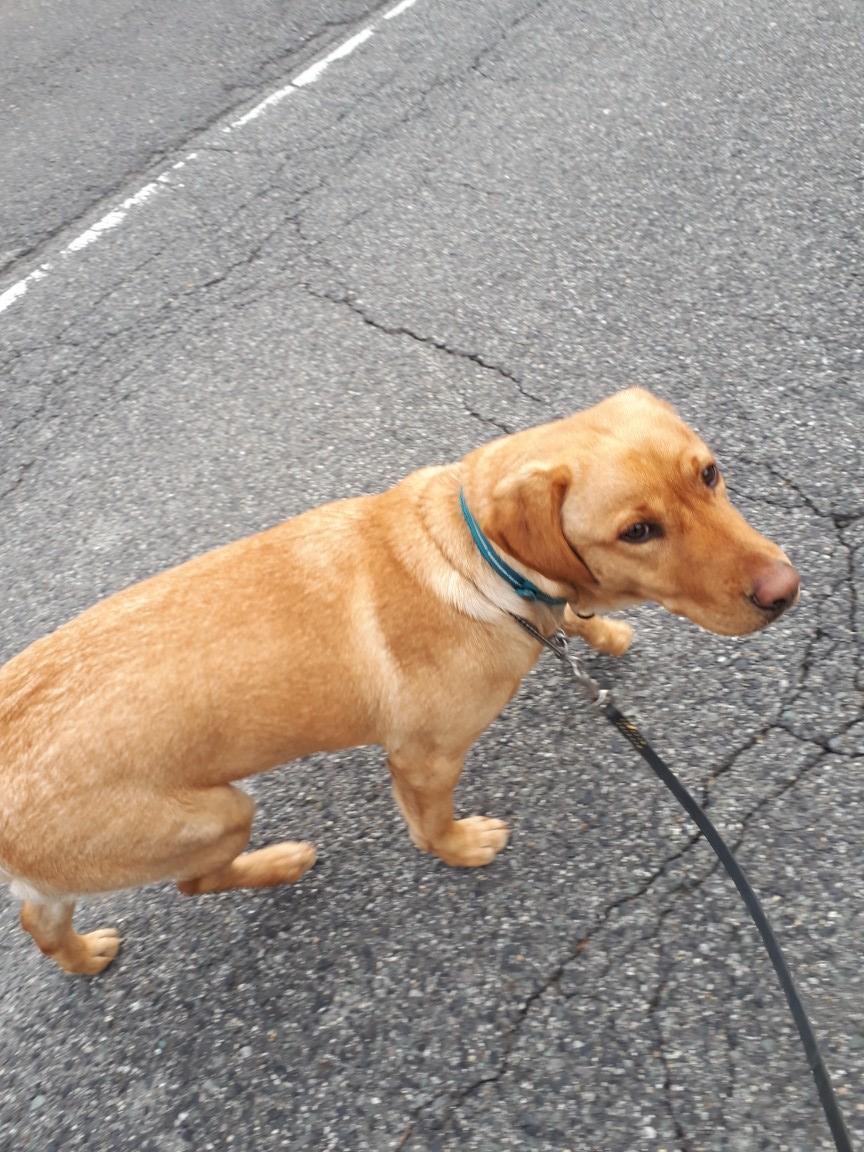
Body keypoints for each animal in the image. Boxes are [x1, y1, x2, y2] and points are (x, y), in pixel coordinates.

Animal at [0, 388, 798, 974]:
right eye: (637, 531)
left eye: (708, 473)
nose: (785, 590)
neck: (472, 553)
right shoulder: (424, 756)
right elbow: (431, 824)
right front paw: (461, 847)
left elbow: (570, 616)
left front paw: (597, 630)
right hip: (215, 816)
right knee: (192, 880)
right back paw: (282, 863)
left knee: (40, 917)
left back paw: (82, 957)